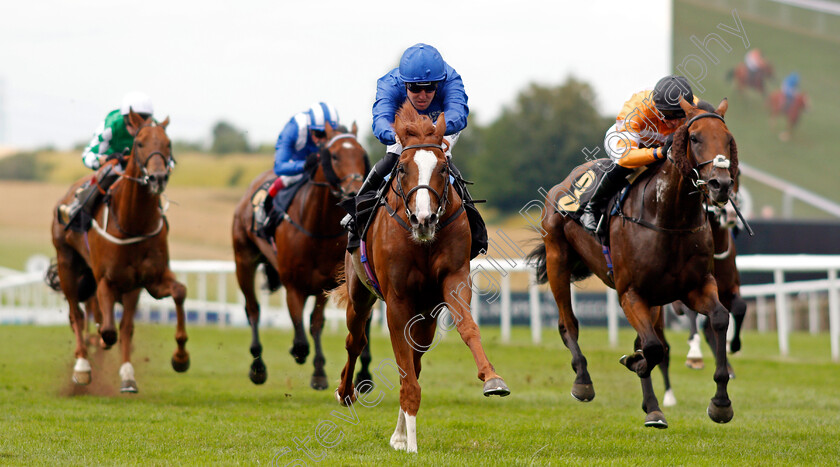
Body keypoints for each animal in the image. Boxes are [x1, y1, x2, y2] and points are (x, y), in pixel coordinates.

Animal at [48, 111, 189, 394]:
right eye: (140, 143)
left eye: (168, 144)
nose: (158, 178)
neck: (133, 222)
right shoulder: (105, 280)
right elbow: (107, 330)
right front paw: (94, 351)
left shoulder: (149, 280)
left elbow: (178, 293)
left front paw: (180, 358)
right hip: (67, 262)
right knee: (77, 314)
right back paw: (82, 365)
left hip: (128, 287)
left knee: (122, 326)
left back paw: (124, 374)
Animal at [231, 121, 372, 392]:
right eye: (334, 155)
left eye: (361, 154)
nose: (354, 191)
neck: (317, 227)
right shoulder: (293, 285)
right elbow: (300, 337)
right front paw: (299, 353)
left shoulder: (326, 283)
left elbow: (315, 324)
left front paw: (319, 373)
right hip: (244, 260)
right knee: (252, 308)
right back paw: (257, 366)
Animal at [332, 103, 508, 454]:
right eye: (401, 169)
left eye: (442, 168)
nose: (423, 219)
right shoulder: (397, 301)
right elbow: (402, 367)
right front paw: (411, 443)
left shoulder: (453, 282)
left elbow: (467, 328)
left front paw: (492, 378)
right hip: (360, 296)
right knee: (355, 340)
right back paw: (346, 392)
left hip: (426, 315)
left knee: (415, 358)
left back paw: (399, 433)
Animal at [528, 98, 740, 428]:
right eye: (694, 138)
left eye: (728, 139)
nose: (721, 185)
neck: (669, 218)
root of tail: (564, 183)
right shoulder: (630, 293)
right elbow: (651, 347)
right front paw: (635, 363)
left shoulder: (696, 287)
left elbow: (718, 318)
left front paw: (720, 402)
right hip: (557, 259)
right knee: (568, 324)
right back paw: (583, 380)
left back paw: (653, 407)